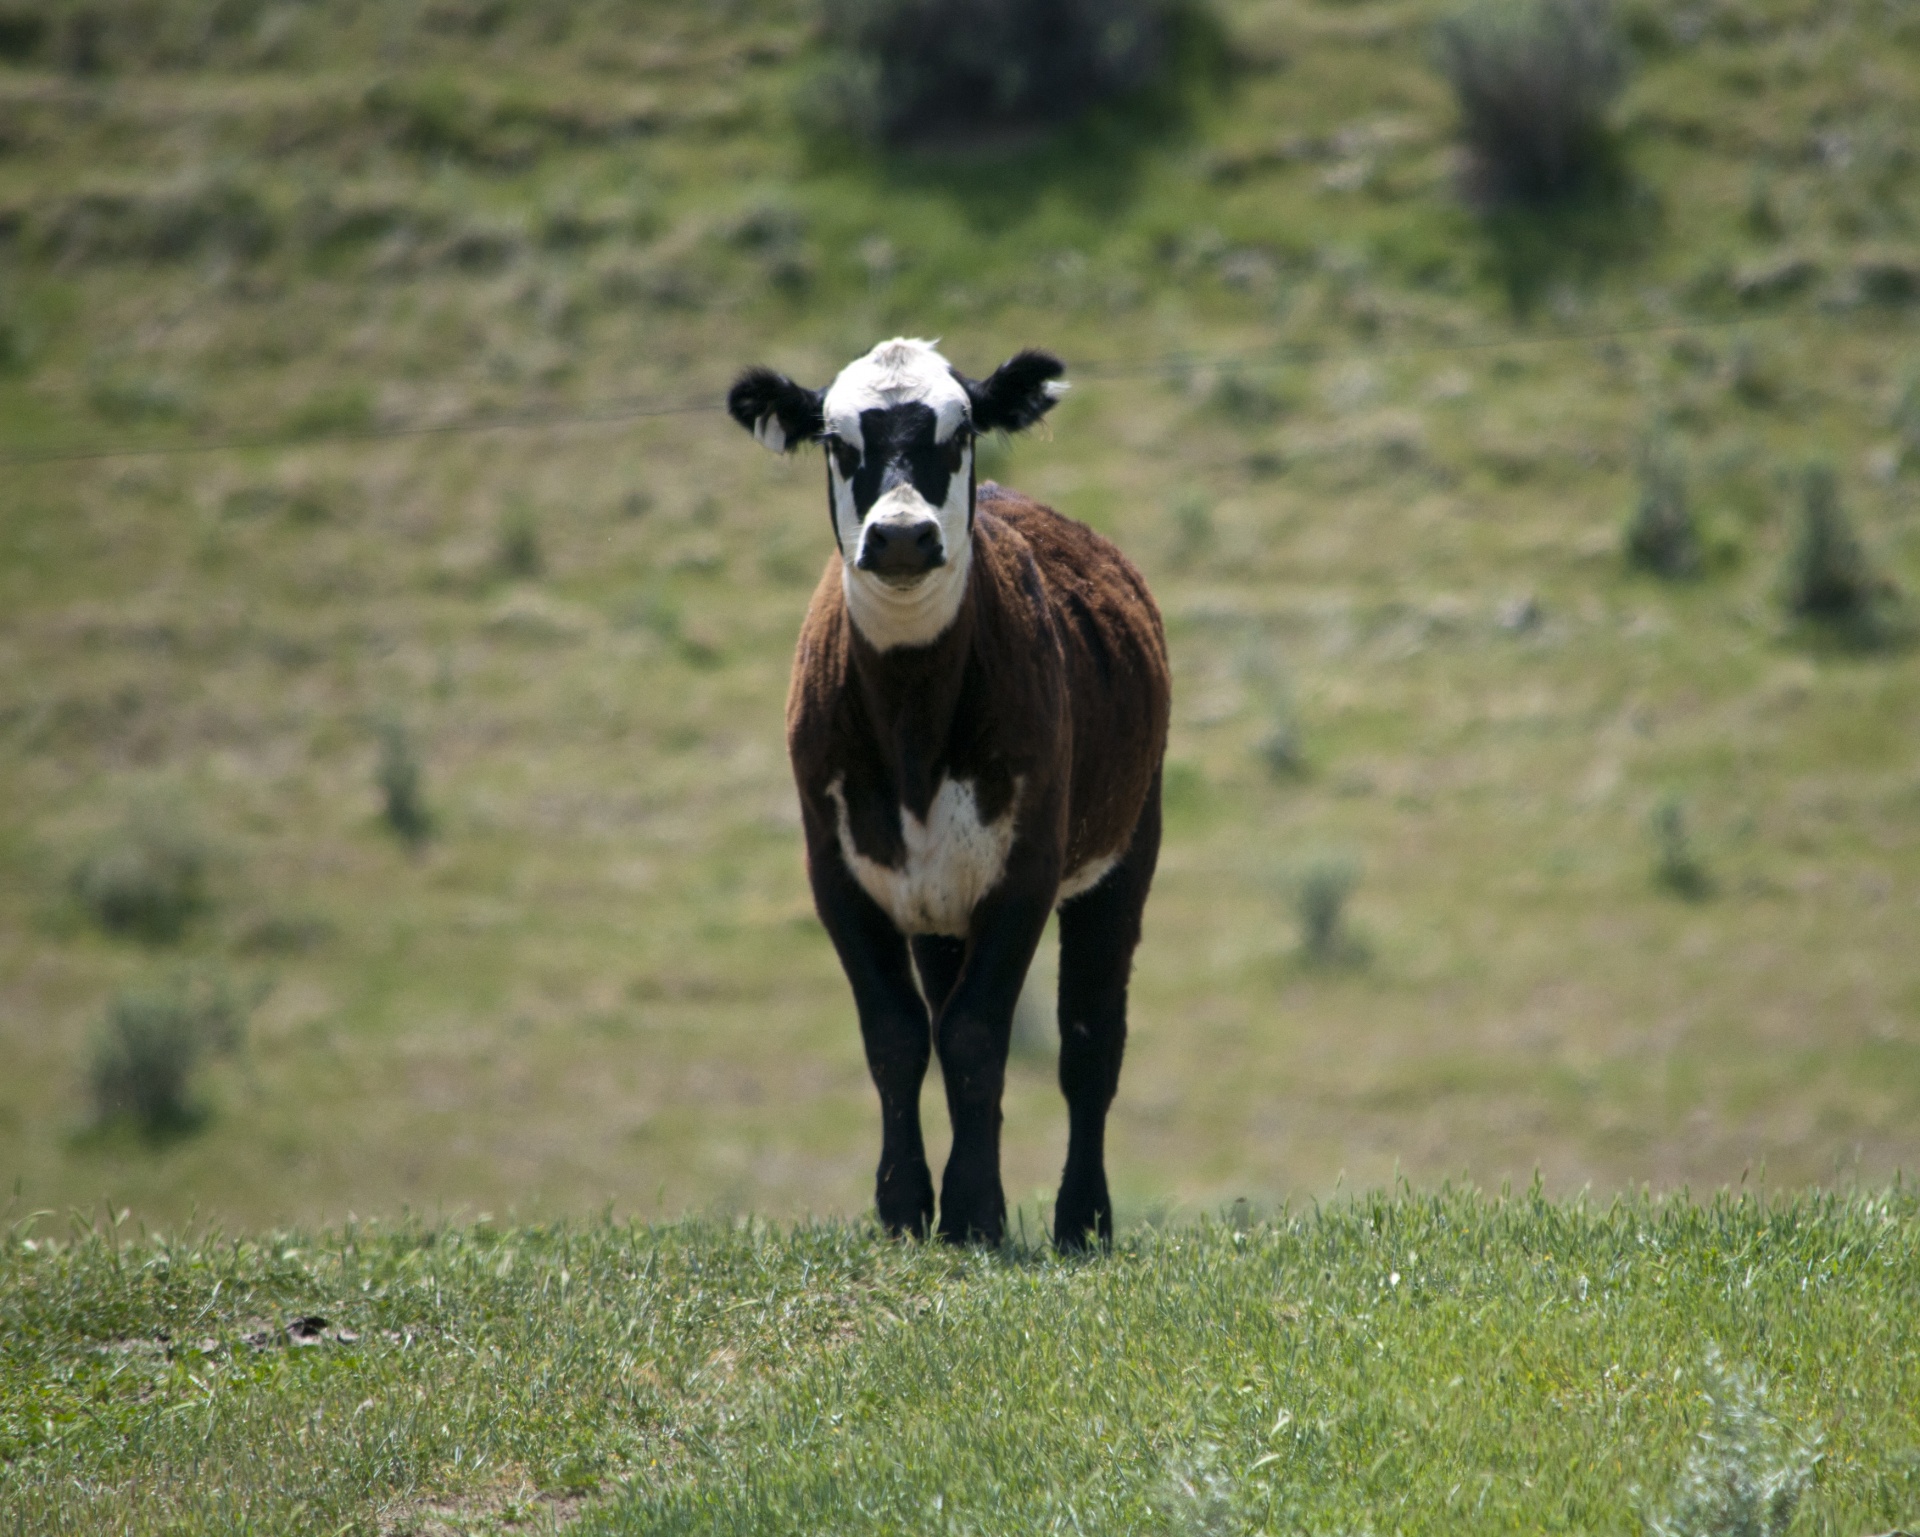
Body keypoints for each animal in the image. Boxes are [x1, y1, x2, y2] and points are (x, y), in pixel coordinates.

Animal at [721, 335, 1159, 1243]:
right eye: (837, 439)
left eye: (959, 433)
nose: (900, 535)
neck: (913, 717)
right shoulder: (837, 871)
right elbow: (897, 1035)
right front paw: (903, 1205)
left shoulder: (1027, 867)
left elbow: (978, 1033)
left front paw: (975, 1210)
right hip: (938, 904)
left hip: (1127, 851)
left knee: (1091, 1041)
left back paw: (1083, 1217)